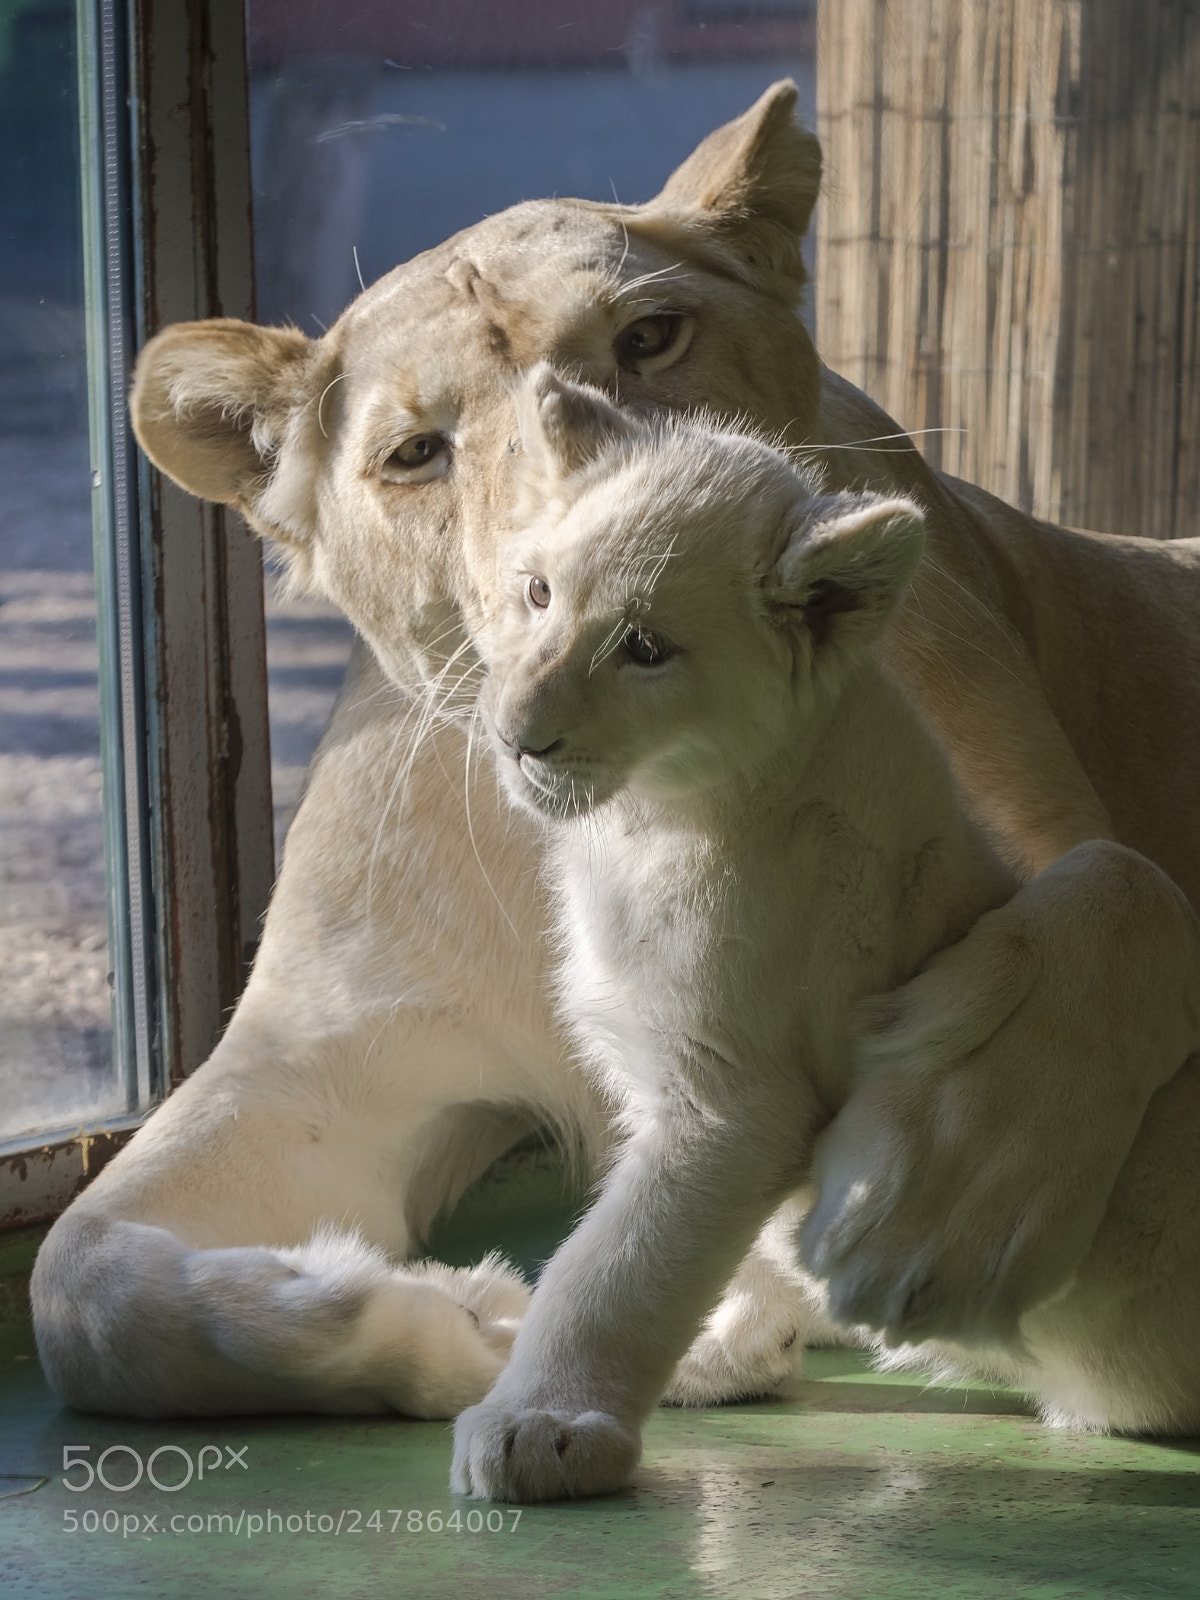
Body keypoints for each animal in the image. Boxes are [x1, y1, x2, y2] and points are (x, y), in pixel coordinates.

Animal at [31, 83, 1200, 1431]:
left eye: (650, 338)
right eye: (417, 451)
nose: (619, 544)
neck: (605, 814)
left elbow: (1124, 883)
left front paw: (943, 1189)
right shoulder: (323, 1054)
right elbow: (79, 1281)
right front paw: (452, 1317)